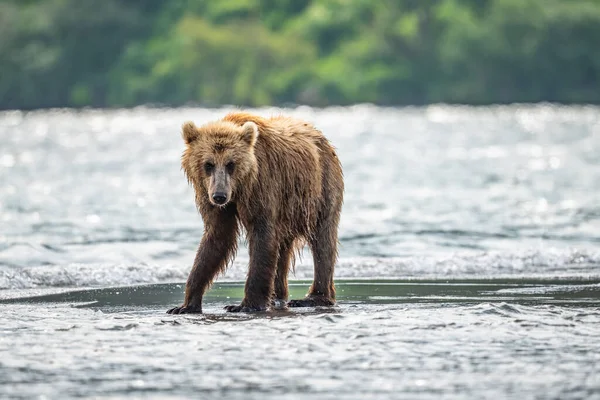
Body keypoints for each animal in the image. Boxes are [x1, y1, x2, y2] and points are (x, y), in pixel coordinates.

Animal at [168, 111, 346, 314]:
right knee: (283, 247)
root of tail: (320, 135)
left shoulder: (262, 186)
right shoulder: (208, 195)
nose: (220, 196)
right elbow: (217, 237)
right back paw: (277, 296)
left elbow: (262, 235)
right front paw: (185, 305)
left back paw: (314, 297)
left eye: (230, 164)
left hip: (320, 187)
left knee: (323, 239)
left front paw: (245, 304)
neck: (239, 188)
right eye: (208, 164)